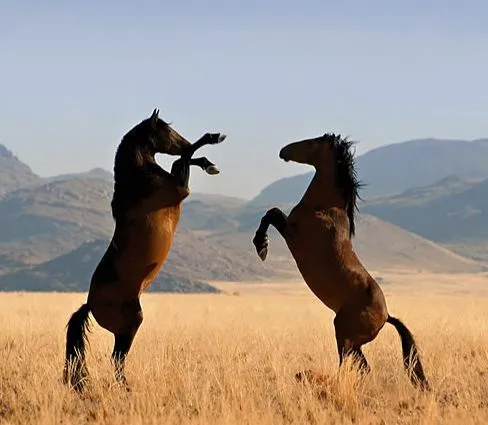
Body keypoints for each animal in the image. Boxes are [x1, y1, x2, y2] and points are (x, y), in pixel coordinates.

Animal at [61, 108, 227, 390]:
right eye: (167, 130)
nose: (181, 140)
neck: (138, 179)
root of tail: (89, 304)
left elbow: (182, 159)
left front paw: (208, 163)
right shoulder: (180, 189)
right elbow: (184, 157)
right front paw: (213, 140)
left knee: (116, 358)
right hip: (130, 324)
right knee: (117, 358)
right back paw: (127, 388)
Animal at [254, 134, 428, 390]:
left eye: (311, 142)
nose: (283, 151)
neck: (324, 208)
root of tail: (387, 316)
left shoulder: (293, 234)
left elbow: (272, 213)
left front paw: (262, 246)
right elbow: (271, 212)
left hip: (343, 333)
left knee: (349, 364)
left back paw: (312, 378)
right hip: (353, 342)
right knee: (362, 367)